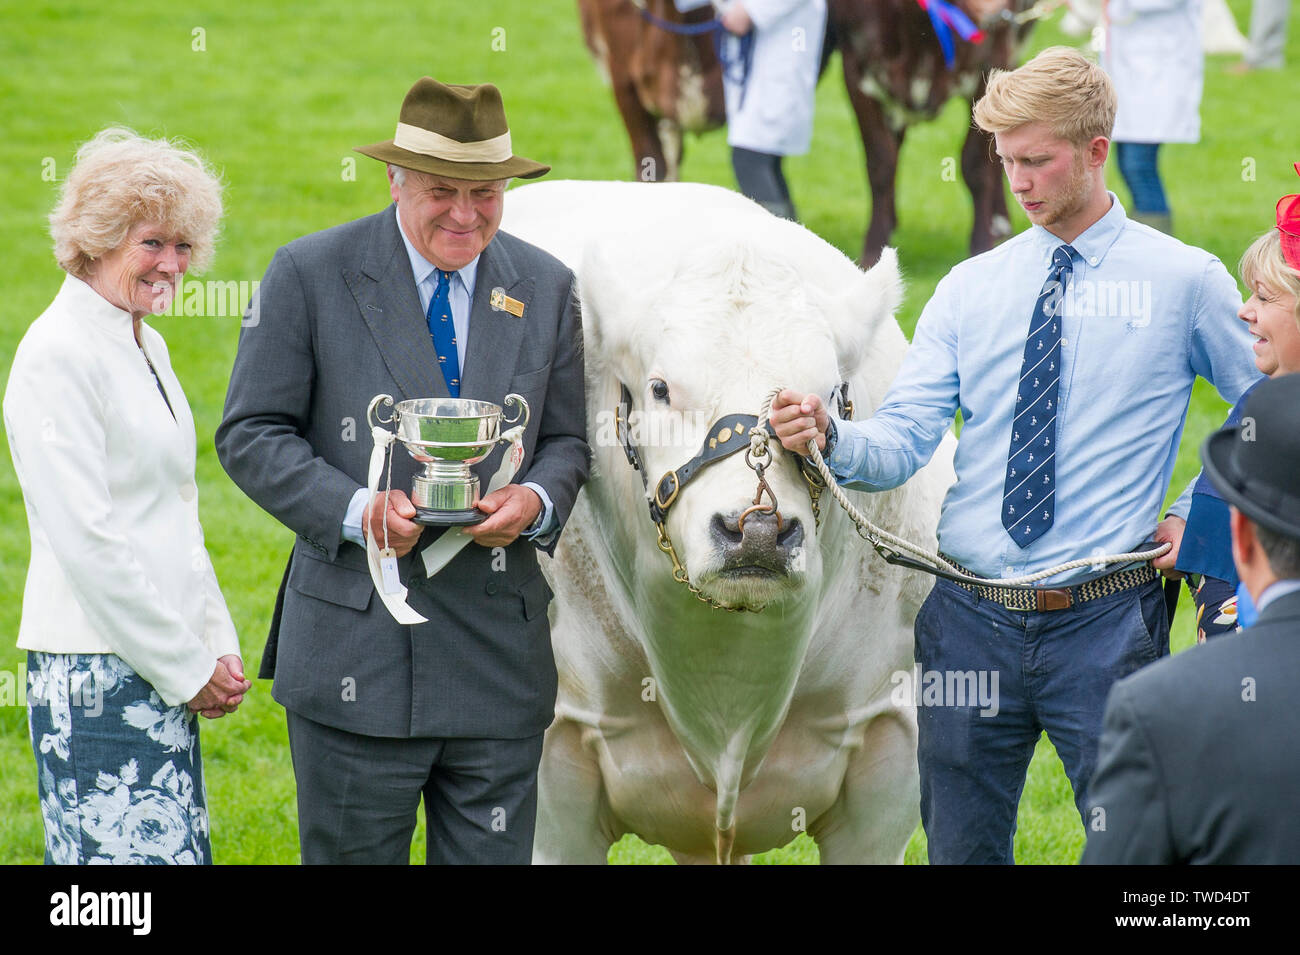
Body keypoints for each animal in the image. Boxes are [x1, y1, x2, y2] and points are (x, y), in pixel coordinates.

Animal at [579, 0, 1034, 265]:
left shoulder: (991, 55)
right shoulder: (622, 81)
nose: (998, 6)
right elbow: (880, 161)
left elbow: (975, 164)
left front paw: (981, 246)